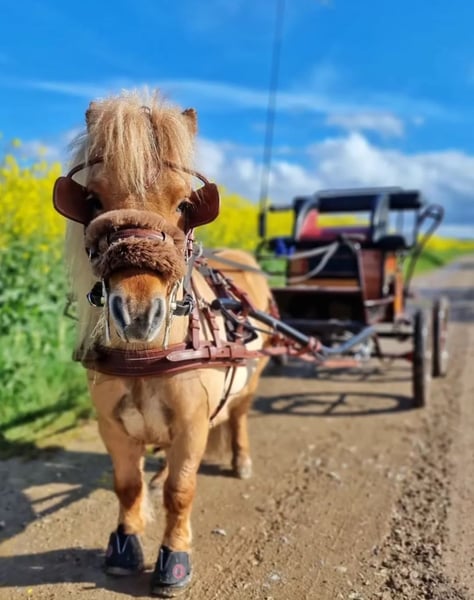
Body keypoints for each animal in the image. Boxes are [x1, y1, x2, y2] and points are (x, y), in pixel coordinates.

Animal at [52, 90, 273, 597]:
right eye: (93, 199)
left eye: (183, 203)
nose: (137, 315)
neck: (149, 356)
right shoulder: (112, 425)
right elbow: (127, 486)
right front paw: (125, 544)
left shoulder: (191, 426)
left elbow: (180, 490)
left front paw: (174, 557)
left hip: (251, 380)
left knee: (239, 416)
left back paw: (241, 458)